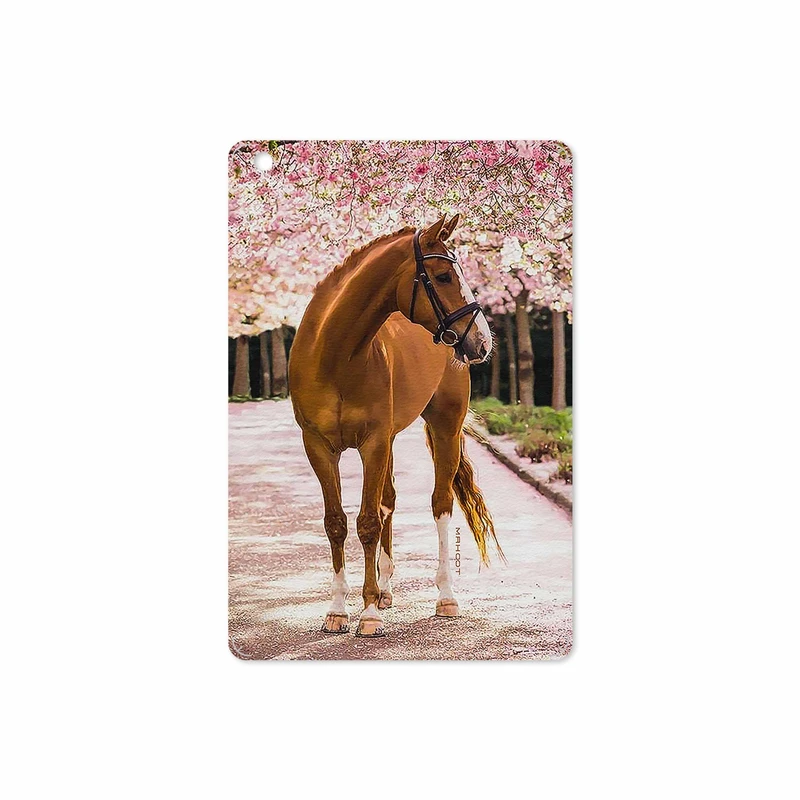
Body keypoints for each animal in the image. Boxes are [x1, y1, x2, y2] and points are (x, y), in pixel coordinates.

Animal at [288, 214, 503, 637]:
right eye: (442, 276)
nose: (483, 341)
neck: (335, 355)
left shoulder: (372, 443)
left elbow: (368, 522)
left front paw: (368, 613)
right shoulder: (319, 447)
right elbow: (337, 522)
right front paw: (338, 610)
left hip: (444, 427)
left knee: (440, 504)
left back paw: (444, 597)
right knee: (388, 500)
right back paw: (386, 589)